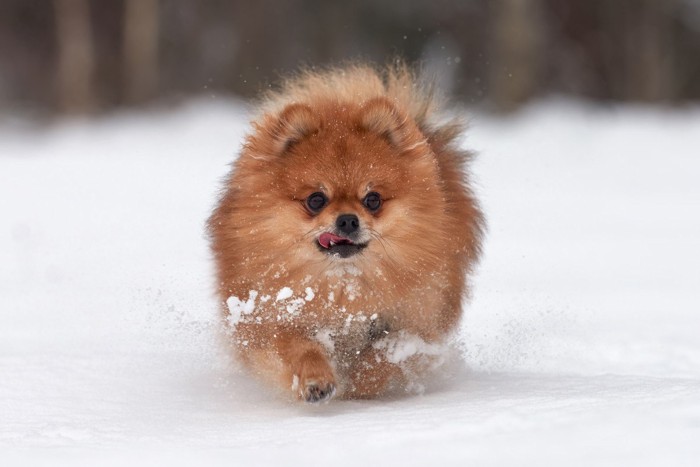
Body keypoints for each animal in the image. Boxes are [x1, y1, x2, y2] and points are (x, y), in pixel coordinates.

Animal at [206, 64, 482, 404]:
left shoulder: (416, 321)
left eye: (372, 199)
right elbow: (299, 348)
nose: (348, 220)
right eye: (316, 199)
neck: (343, 285)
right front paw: (315, 379)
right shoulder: (271, 319)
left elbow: (385, 355)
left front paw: (361, 383)